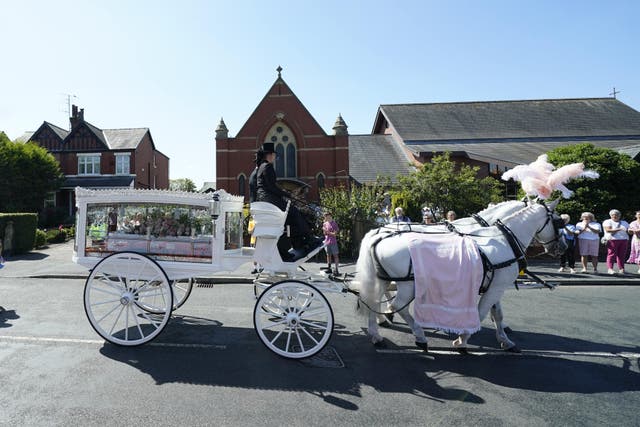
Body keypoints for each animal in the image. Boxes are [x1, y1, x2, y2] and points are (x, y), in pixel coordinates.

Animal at [356, 199, 564, 352]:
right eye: (559, 221)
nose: (562, 246)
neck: (503, 239)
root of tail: (378, 234)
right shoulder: (496, 287)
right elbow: (481, 312)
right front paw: (462, 339)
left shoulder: (494, 284)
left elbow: (497, 313)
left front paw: (505, 339)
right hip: (408, 284)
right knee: (398, 305)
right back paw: (418, 335)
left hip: (382, 279)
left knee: (373, 300)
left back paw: (377, 333)